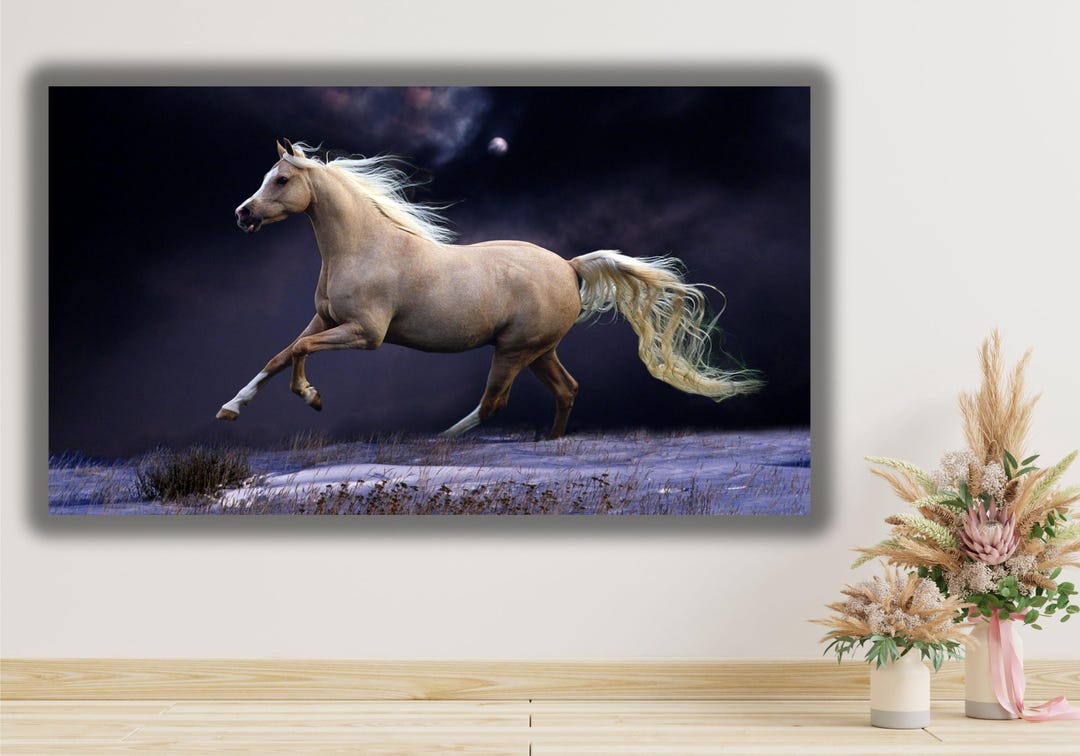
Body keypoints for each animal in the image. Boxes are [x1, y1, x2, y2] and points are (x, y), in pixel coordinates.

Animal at [217, 139, 762, 439]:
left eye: (281, 180)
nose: (242, 215)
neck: (363, 248)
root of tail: (570, 267)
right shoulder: (326, 320)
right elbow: (281, 354)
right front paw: (230, 408)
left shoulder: (365, 333)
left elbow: (299, 352)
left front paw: (311, 397)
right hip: (539, 350)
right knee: (567, 389)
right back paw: (549, 443)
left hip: (514, 350)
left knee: (494, 403)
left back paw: (436, 441)